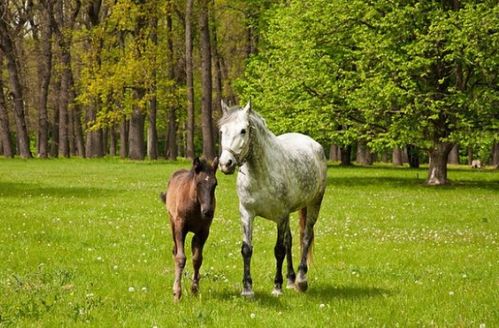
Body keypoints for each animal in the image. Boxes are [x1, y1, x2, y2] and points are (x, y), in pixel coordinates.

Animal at [219, 100, 328, 298]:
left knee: (306, 238)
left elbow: (279, 250)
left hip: (314, 204)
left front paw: (277, 287)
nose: (225, 164)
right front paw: (247, 289)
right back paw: (291, 280)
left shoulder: (280, 216)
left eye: (243, 131)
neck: (260, 174)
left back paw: (301, 280)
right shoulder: (247, 213)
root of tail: (313, 144)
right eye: (222, 131)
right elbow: (247, 249)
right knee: (290, 240)